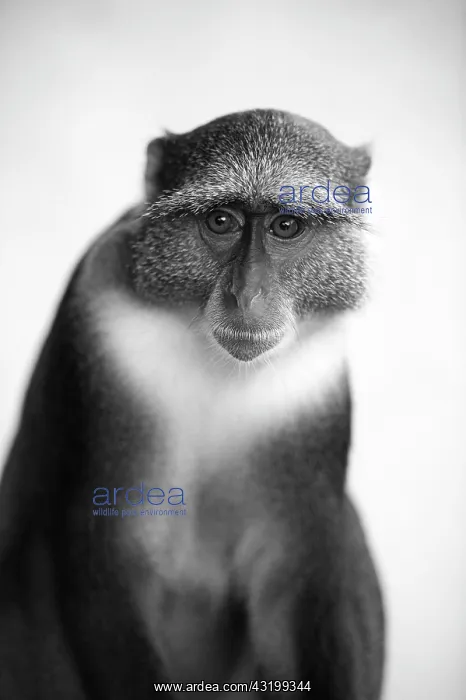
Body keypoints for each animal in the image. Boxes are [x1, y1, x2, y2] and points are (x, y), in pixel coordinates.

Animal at [0, 109, 384, 699]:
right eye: (221, 221)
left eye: (286, 226)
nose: (246, 296)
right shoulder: (99, 310)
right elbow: (107, 553)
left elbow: (296, 581)